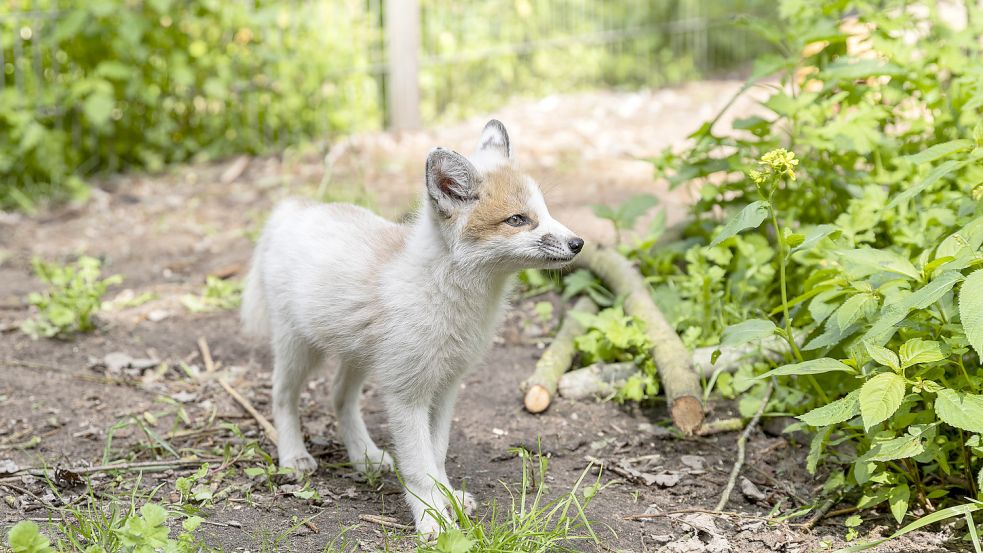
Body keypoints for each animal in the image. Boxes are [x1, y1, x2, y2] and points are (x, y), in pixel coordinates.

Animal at [242, 118, 584, 532]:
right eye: (517, 220)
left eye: (545, 212)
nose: (579, 243)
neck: (451, 299)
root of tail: (297, 208)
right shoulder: (407, 395)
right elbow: (420, 468)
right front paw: (433, 521)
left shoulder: (446, 386)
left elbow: (437, 457)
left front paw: (449, 501)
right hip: (299, 350)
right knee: (282, 396)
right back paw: (293, 456)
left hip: (358, 359)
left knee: (339, 397)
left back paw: (365, 456)